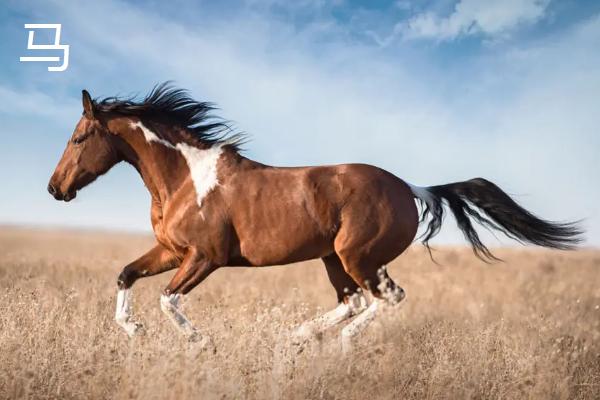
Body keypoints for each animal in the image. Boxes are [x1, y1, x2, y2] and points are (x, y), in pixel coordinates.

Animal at [49, 84, 584, 350]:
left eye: (78, 137)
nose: (55, 188)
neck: (186, 178)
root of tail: (411, 188)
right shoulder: (170, 250)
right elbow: (125, 275)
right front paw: (133, 331)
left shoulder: (205, 256)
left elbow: (167, 299)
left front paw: (200, 342)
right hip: (334, 259)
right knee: (354, 301)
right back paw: (299, 336)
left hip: (357, 256)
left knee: (385, 299)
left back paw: (340, 343)